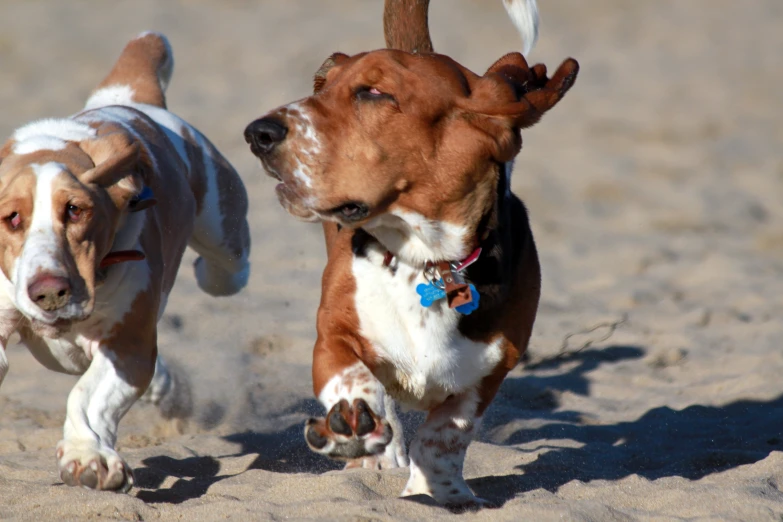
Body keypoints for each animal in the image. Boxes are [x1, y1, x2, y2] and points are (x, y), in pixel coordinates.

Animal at [0, 33, 251, 492]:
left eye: (76, 210)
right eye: (12, 218)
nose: (49, 292)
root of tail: (131, 100)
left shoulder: (128, 345)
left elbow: (86, 396)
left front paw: (88, 459)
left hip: (224, 235)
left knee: (226, 270)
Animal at [243, 0, 576, 506]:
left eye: (374, 93)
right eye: (324, 86)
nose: (256, 133)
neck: (425, 263)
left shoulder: (487, 375)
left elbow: (443, 437)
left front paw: (440, 494)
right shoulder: (332, 332)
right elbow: (352, 378)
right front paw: (354, 427)